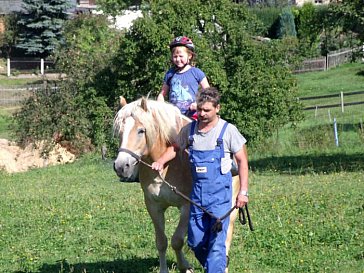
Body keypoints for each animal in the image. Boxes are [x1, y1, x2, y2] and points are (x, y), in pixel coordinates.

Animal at [112, 96, 240, 270]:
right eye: (120, 132)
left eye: (141, 131)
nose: (120, 166)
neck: (166, 165)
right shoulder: (153, 206)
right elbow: (161, 242)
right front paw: (167, 269)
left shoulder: (188, 207)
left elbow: (177, 240)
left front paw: (185, 267)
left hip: (231, 205)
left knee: (226, 232)